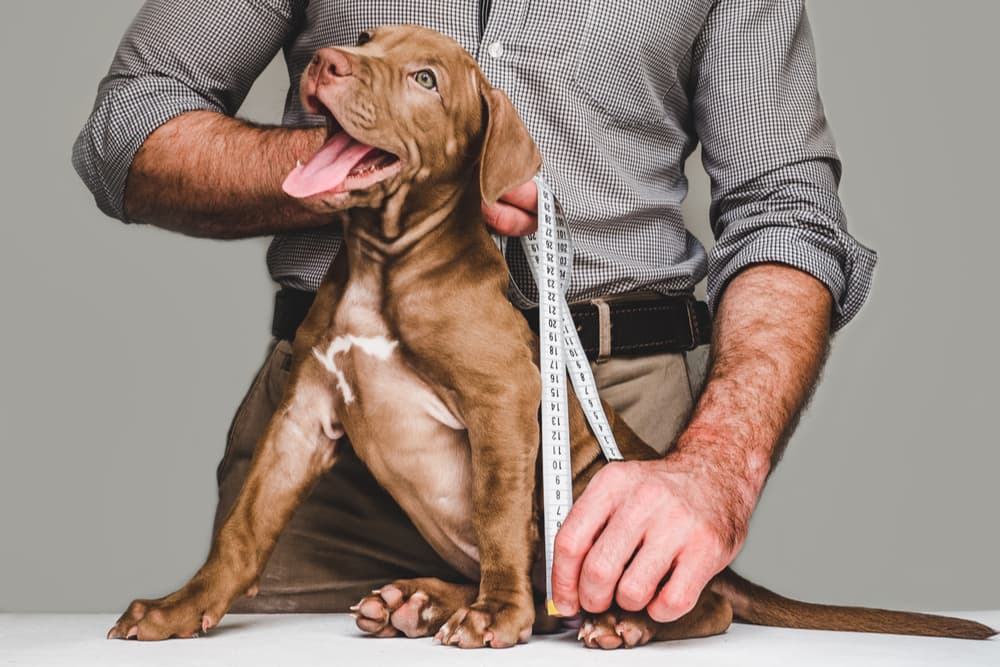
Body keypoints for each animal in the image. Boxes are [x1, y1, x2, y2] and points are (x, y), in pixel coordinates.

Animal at [107, 24, 992, 648]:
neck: (384, 262)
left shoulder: (505, 399)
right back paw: (420, 598)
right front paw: (182, 606)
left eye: (425, 79)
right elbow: (243, 526)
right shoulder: (303, 416)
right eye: (363, 39)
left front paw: (496, 617)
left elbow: (500, 514)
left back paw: (613, 619)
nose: (327, 62)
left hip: (608, 503)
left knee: (693, 602)